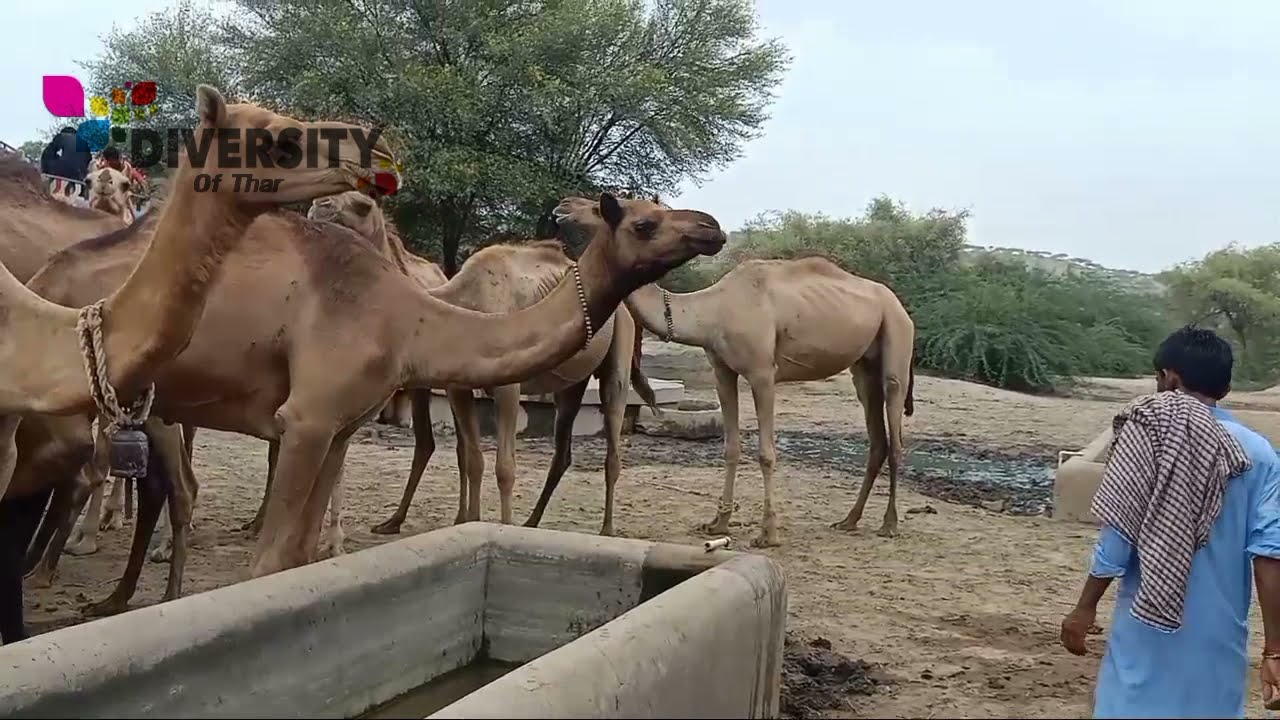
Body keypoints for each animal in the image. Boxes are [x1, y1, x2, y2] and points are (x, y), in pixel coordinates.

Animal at [609, 250, 917, 548]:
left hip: (896, 333)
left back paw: (889, 525)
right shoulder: (722, 371)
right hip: (863, 366)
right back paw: (849, 520)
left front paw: (767, 535)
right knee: (877, 437)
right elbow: (731, 447)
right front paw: (718, 524)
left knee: (895, 428)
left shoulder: (762, 373)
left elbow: (766, 453)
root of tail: (899, 305)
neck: (712, 310)